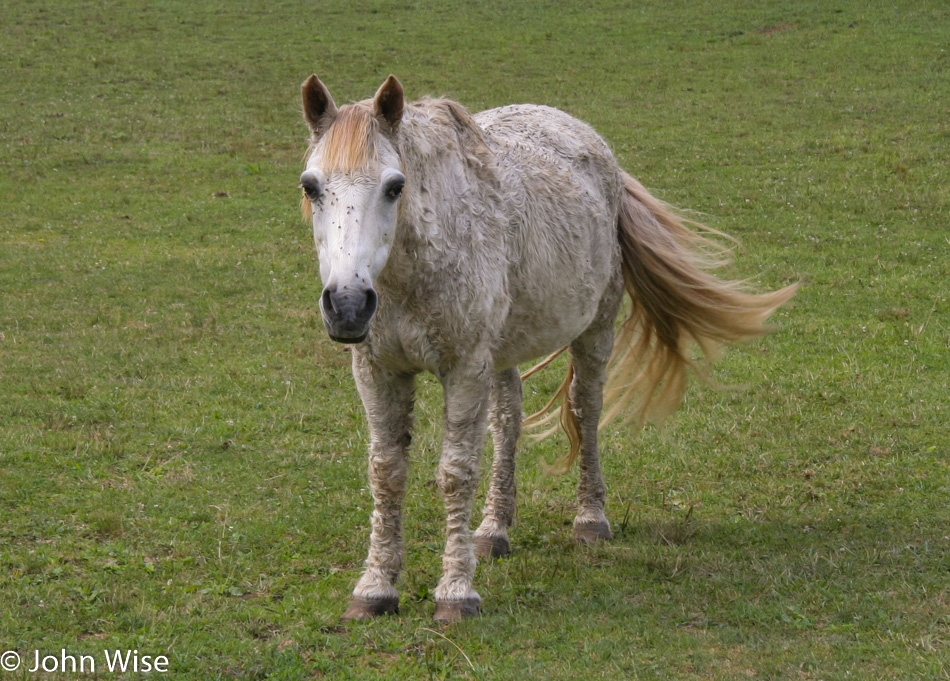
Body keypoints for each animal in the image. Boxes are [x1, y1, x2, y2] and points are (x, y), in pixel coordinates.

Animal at [298, 74, 796, 620]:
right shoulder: (378, 371)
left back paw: (590, 519)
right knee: (508, 420)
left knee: (585, 409)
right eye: (311, 186)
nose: (347, 303)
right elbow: (386, 473)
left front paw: (456, 592)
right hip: (500, 353)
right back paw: (493, 529)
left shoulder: (464, 369)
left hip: (594, 330)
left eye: (394, 186)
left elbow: (455, 473)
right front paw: (375, 588)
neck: (410, 272)